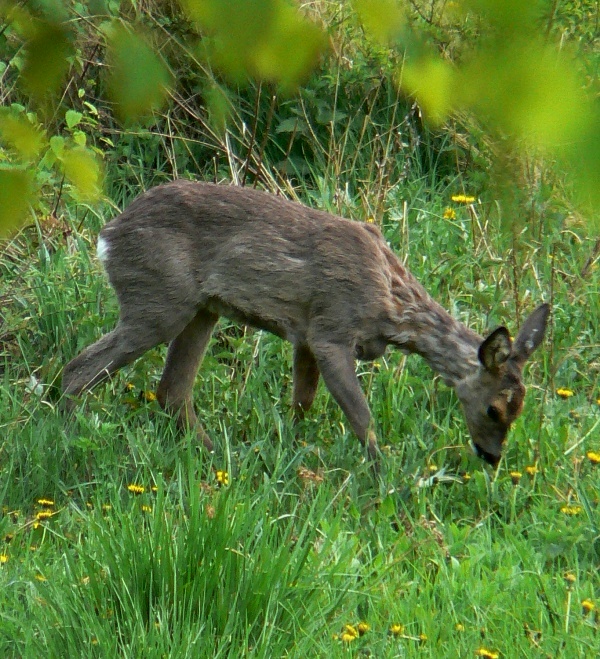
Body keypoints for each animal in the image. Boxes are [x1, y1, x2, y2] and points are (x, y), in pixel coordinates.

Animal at [63, 180, 552, 466]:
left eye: (520, 410)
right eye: (494, 409)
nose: (491, 457)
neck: (393, 307)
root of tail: (107, 235)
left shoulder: (304, 336)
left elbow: (302, 403)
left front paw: (292, 451)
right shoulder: (330, 329)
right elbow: (361, 418)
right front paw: (385, 476)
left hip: (203, 309)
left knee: (171, 392)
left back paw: (221, 459)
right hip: (158, 300)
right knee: (79, 368)